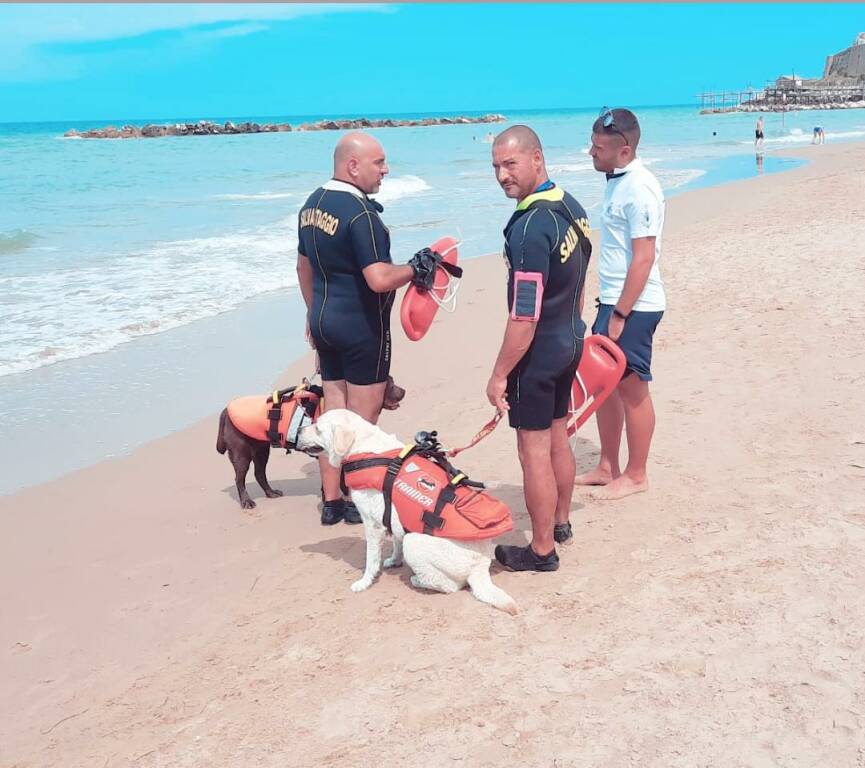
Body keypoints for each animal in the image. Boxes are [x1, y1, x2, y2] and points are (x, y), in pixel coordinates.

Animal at [216, 376, 404, 508]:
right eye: (391, 383)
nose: (404, 391)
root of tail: (225, 410)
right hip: (241, 453)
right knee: (239, 479)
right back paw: (246, 501)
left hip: (261, 449)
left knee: (259, 473)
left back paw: (271, 492)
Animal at [298, 412, 512, 616]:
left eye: (317, 428)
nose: (299, 429)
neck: (363, 447)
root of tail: (481, 566)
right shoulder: (393, 516)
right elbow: (396, 541)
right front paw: (394, 560)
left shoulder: (372, 525)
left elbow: (371, 560)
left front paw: (364, 582)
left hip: (415, 542)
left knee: (450, 586)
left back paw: (417, 580)